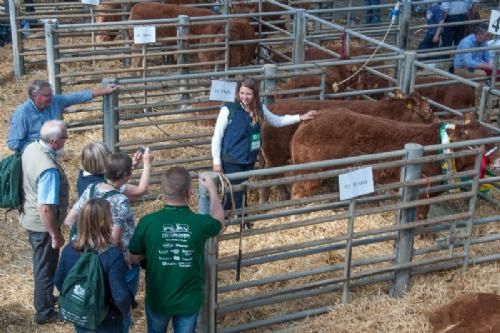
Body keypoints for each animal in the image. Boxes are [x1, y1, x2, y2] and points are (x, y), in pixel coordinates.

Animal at [290, 109, 500, 218]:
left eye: (491, 134)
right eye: (478, 142)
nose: (497, 157)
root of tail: (310, 121)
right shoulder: (423, 190)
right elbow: (420, 214)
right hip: (312, 172)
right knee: (297, 192)